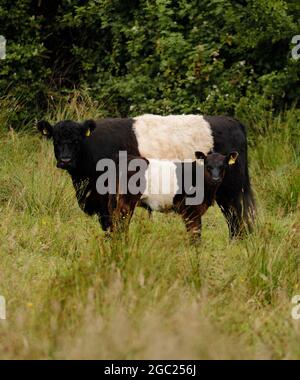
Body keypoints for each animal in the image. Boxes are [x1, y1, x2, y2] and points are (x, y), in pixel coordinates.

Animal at [36, 114, 254, 238]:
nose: (65, 160)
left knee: (238, 219)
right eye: (55, 140)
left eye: (76, 140)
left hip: (232, 191)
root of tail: (232, 120)